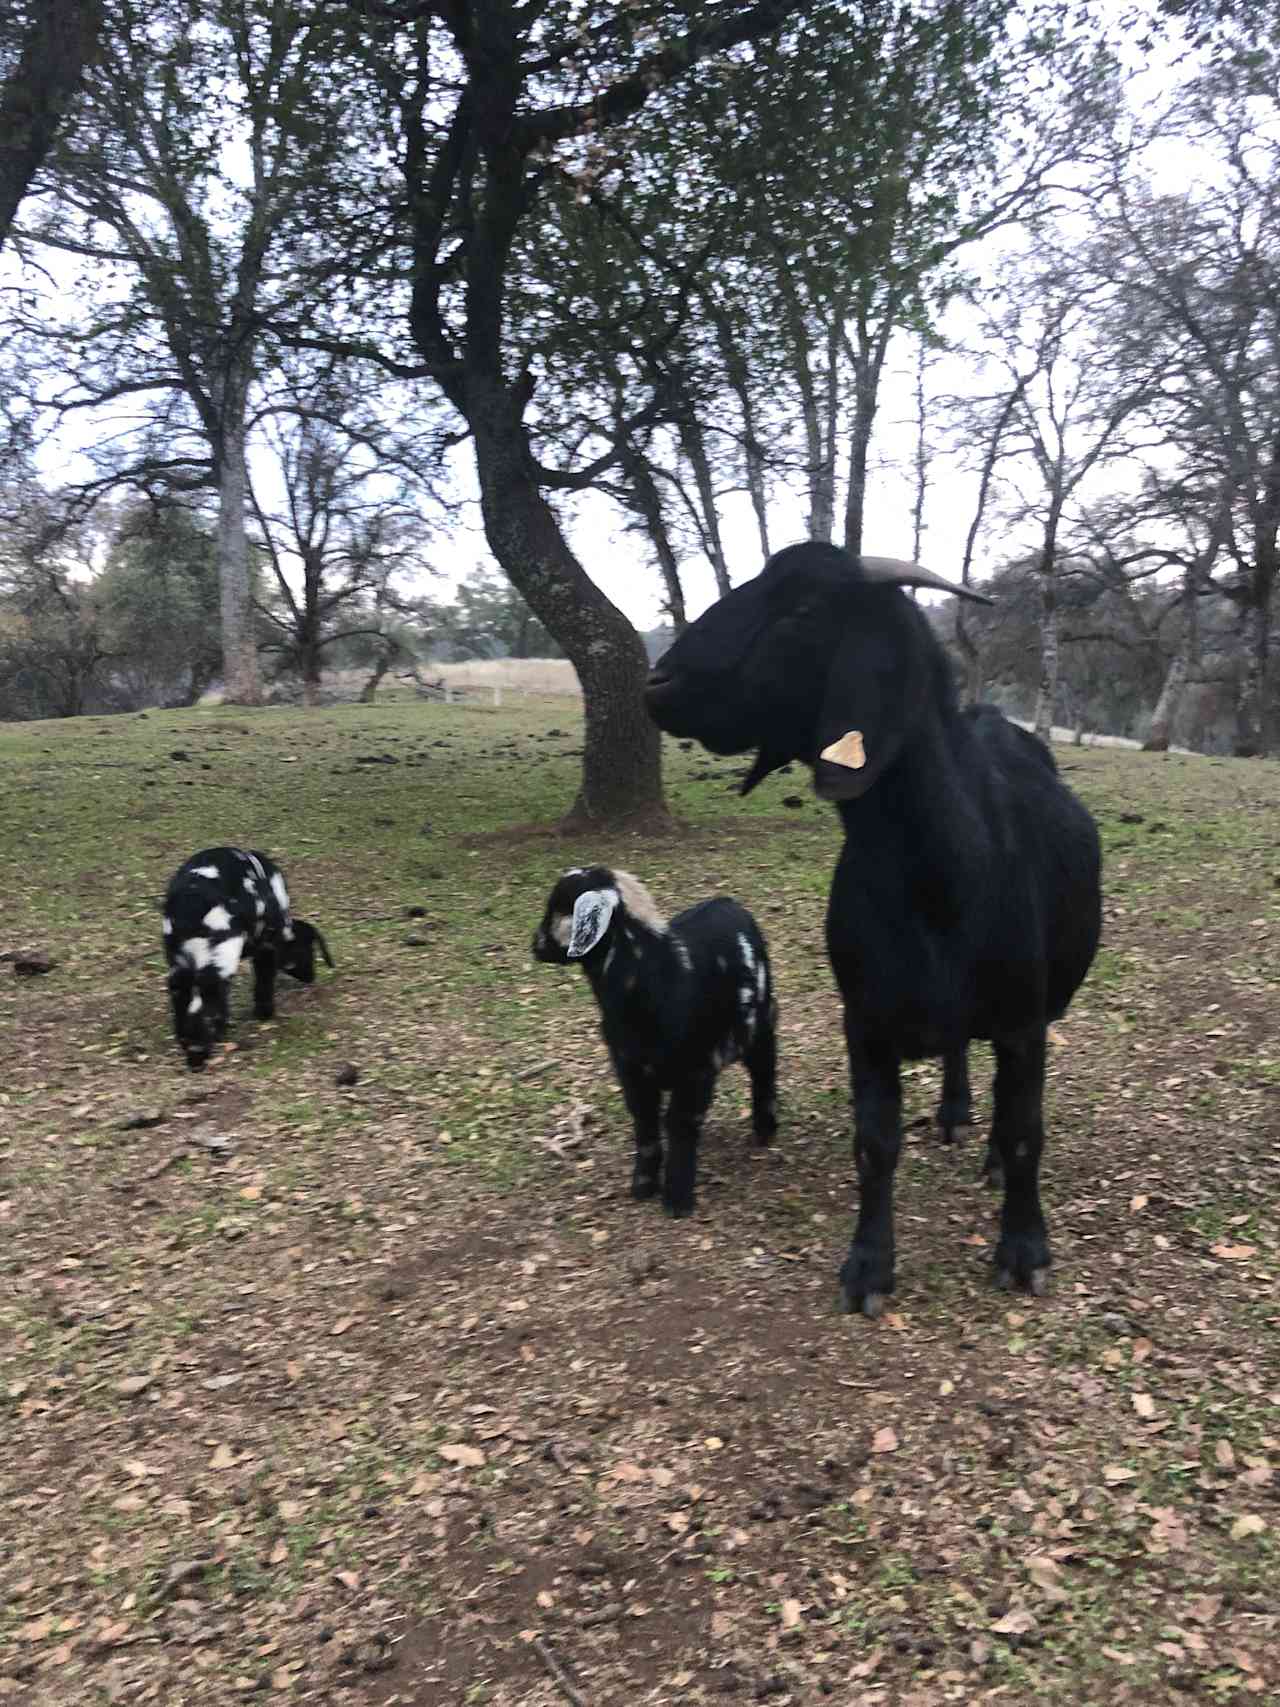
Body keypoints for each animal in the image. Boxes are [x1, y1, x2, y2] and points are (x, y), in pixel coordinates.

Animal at [651, 539, 1105, 1310]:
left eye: (802, 607)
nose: (658, 680)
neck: (937, 872)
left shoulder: (1024, 1017)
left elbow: (1024, 1131)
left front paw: (1023, 1249)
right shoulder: (863, 1021)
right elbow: (874, 1144)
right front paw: (868, 1265)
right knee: (958, 1054)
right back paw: (953, 1112)